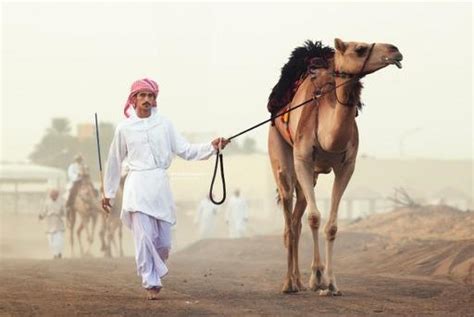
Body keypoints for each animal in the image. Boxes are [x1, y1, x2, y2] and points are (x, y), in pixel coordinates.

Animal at [268, 39, 402, 294]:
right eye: (359, 49)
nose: (395, 50)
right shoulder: (303, 159)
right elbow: (314, 218)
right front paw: (317, 277)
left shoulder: (347, 166)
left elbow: (331, 226)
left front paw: (330, 283)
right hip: (280, 152)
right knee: (288, 216)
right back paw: (289, 283)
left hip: (310, 178)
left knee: (296, 220)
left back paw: (298, 281)